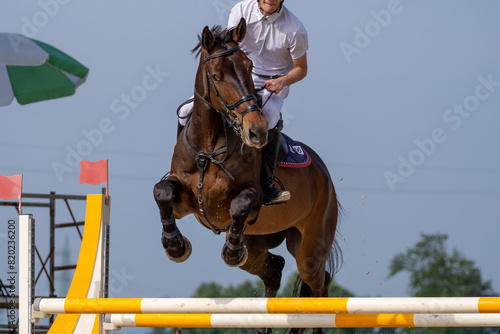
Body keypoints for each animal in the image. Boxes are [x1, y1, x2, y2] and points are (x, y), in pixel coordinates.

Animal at [152, 18, 340, 334]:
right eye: (216, 76)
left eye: (249, 67)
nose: (257, 132)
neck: (209, 147)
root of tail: (324, 175)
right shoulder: (184, 203)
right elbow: (162, 192)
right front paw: (175, 246)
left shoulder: (251, 200)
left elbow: (239, 206)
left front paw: (229, 251)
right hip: (258, 245)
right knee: (275, 270)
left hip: (310, 249)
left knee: (319, 285)